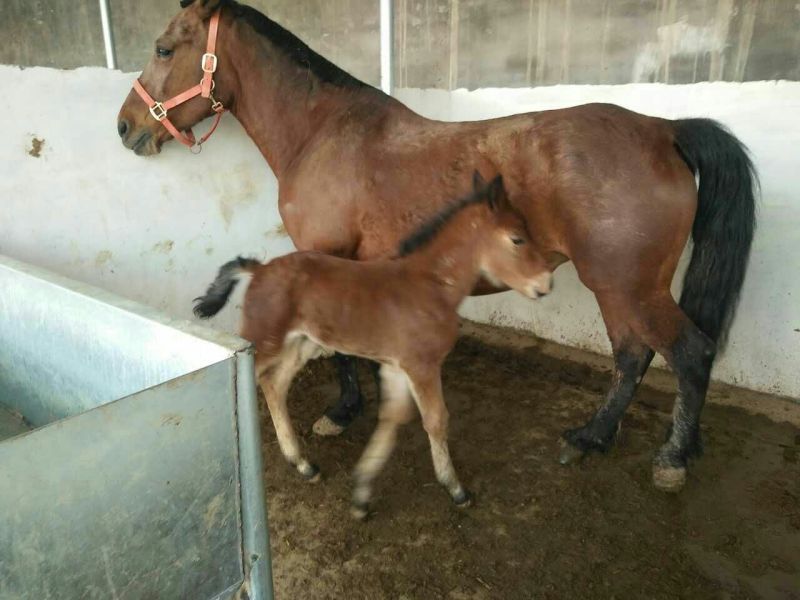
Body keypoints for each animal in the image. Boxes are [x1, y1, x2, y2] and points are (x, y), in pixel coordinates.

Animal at [193, 173, 553, 517]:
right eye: (517, 239)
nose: (546, 283)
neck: (431, 286)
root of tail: (259, 268)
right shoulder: (422, 366)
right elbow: (436, 419)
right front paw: (456, 490)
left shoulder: (397, 366)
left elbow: (392, 418)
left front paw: (361, 495)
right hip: (263, 341)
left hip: (302, 343)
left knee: (274, 385)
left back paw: (304, 465)